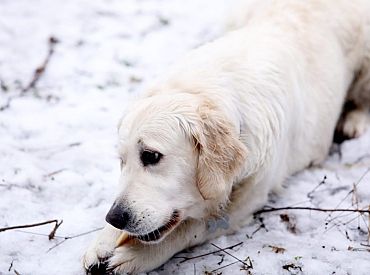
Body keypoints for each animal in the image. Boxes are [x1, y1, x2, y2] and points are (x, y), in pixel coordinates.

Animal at [82, 0, 368, 274]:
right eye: (122, 161)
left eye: (151, 156)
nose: (114, 217)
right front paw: (102, 242)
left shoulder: (248, 197)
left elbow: (191, 226)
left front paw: (137, 255)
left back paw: (353, 121)